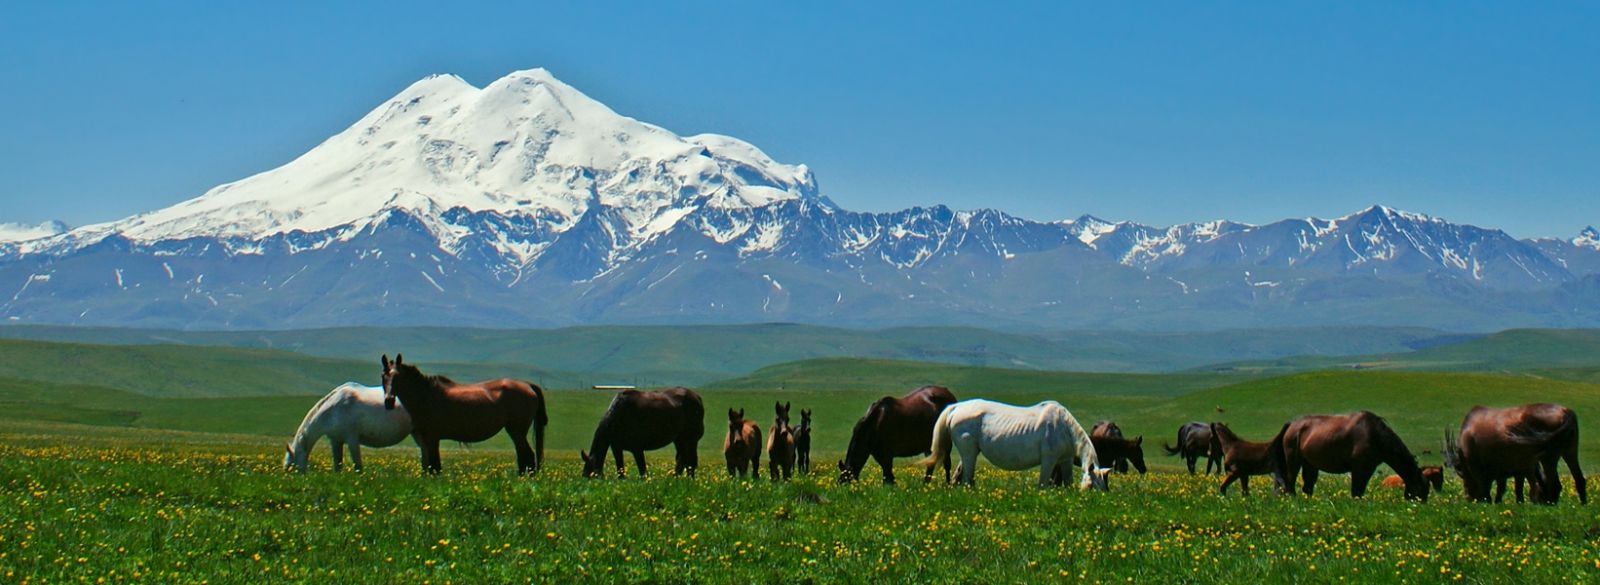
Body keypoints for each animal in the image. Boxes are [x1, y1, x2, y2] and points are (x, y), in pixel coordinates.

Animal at [286, 382, 416, 473]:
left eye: (290, 466)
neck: (333, 410)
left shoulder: (352, 439)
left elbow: (358, 466)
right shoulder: (335, 440)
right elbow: (337, 465)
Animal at [380, 356, 550, 476]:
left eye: (398, 377)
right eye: (383, 376)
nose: (388, 401)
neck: (425, 396)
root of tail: (528, 385)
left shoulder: (432, 438)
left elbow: (435, 467)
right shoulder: (423, 440)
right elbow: (427, 466)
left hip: (517, 431)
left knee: (528, 456)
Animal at [928, 397, 1113, 489]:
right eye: (1092, 486)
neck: (1064, 428)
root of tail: (955, 407)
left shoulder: (1065, 460)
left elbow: (1068, 482)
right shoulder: (1049, 459)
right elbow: (1043, 484)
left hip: (971, 451)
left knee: (960, 475)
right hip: (969, 452)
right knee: (967, 477)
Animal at [1267, 409, 1433, 501]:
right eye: (1421, 488)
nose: (1422, 505)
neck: (1375, 435)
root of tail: (1292, 425)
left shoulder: (1368, 469)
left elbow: (1360, 490)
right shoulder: (1359, 469)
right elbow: (1356, 491)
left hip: (1310, 465)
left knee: (1307, 487)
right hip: (1294, 461)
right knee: (1290, 483)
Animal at [1440, 404, 1587, 505]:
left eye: (1463, 475)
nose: (1469, 498)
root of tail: (1567, 413)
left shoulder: (1479, 465)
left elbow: (1492, 486)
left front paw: (1490, 501)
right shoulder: (1516, 468)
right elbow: (1515, 488)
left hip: (1549, 456)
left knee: (1555, 484)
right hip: (1570, 450)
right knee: (1579, 479)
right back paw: (1582, 504)